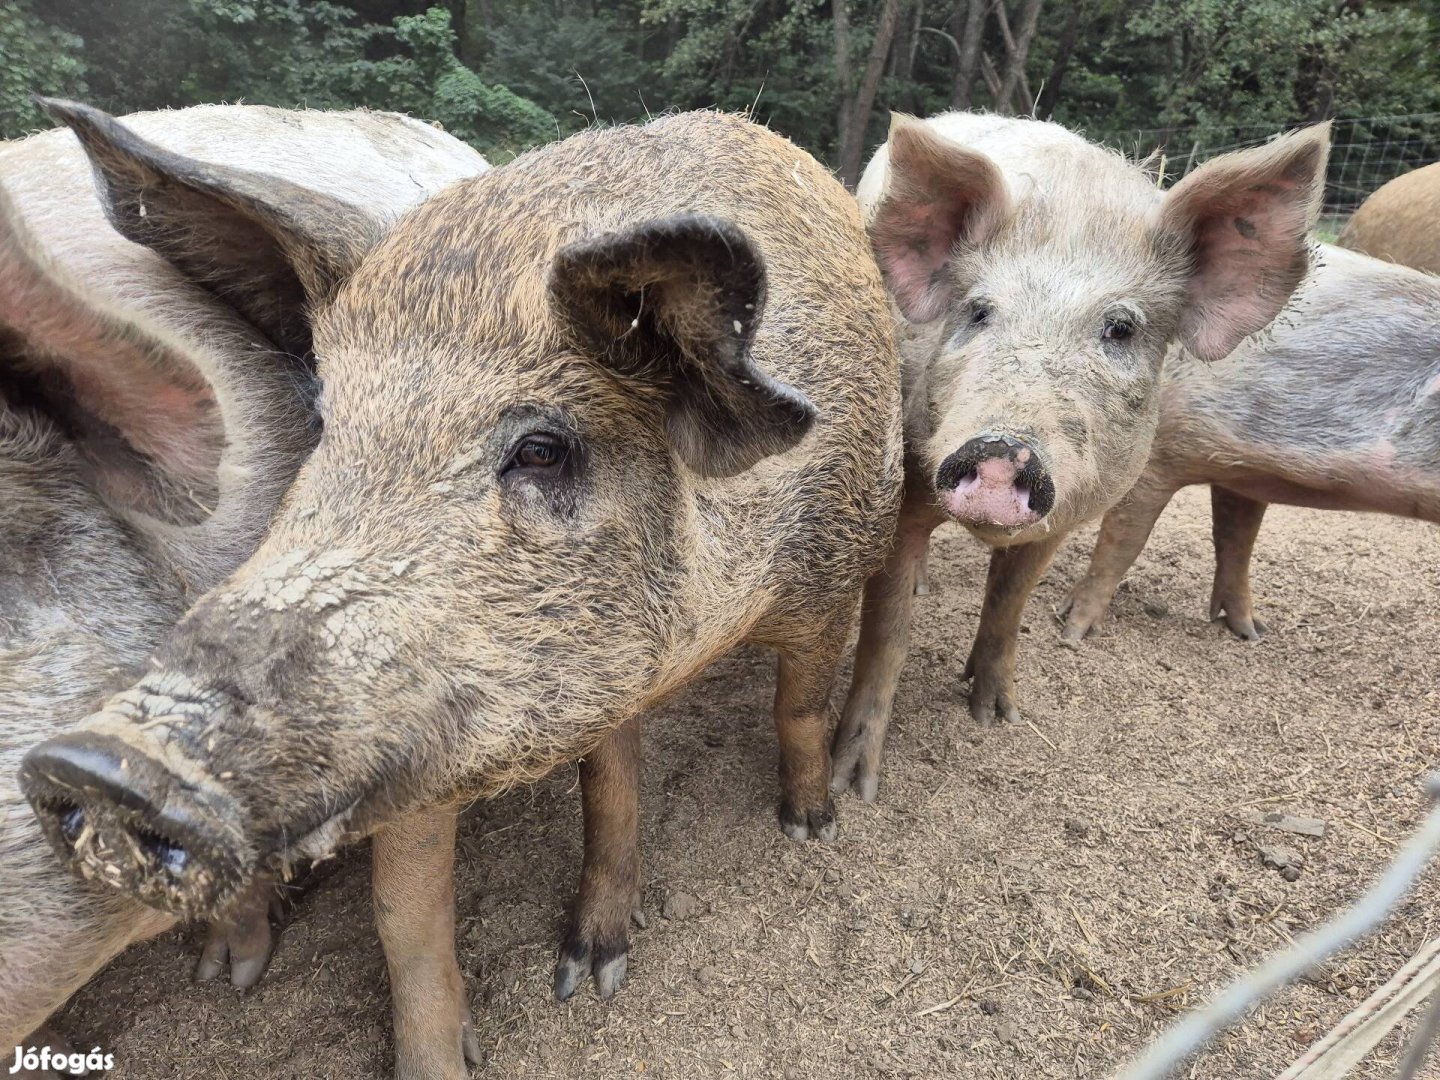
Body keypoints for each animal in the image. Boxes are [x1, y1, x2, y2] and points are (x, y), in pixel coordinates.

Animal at [829, 114, 1330, 806]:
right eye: (978, 311)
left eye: (1120, 328)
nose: (1001, 449)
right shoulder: (904, 486)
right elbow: (889, 630)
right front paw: (856, 788)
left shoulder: (1065, 516)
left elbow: (1009, 604)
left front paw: (998, 716)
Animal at [1059, 247, 1440, 642]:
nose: (1258, 632)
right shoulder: (1157, 454)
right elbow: (1123, 543)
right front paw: (1073, 632)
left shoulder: (1243, 474)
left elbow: (1237, 542)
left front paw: (1252, 632)